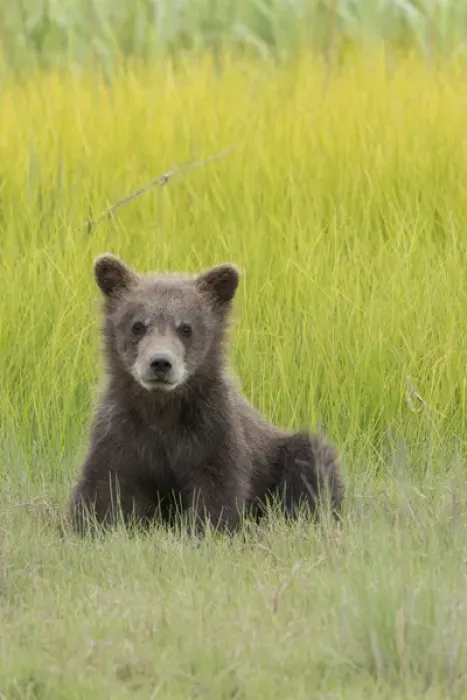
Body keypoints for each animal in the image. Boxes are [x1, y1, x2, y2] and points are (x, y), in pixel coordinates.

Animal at [69, 254, 344, 536]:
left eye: (186, 328)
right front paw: (92, 525)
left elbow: (217, 488)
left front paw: (207, 529)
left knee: (311, 461)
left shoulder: (211, 432)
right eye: (138, 326)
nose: (160, 362)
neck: (163, 409)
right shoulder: (122, 433)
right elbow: (104, 486)